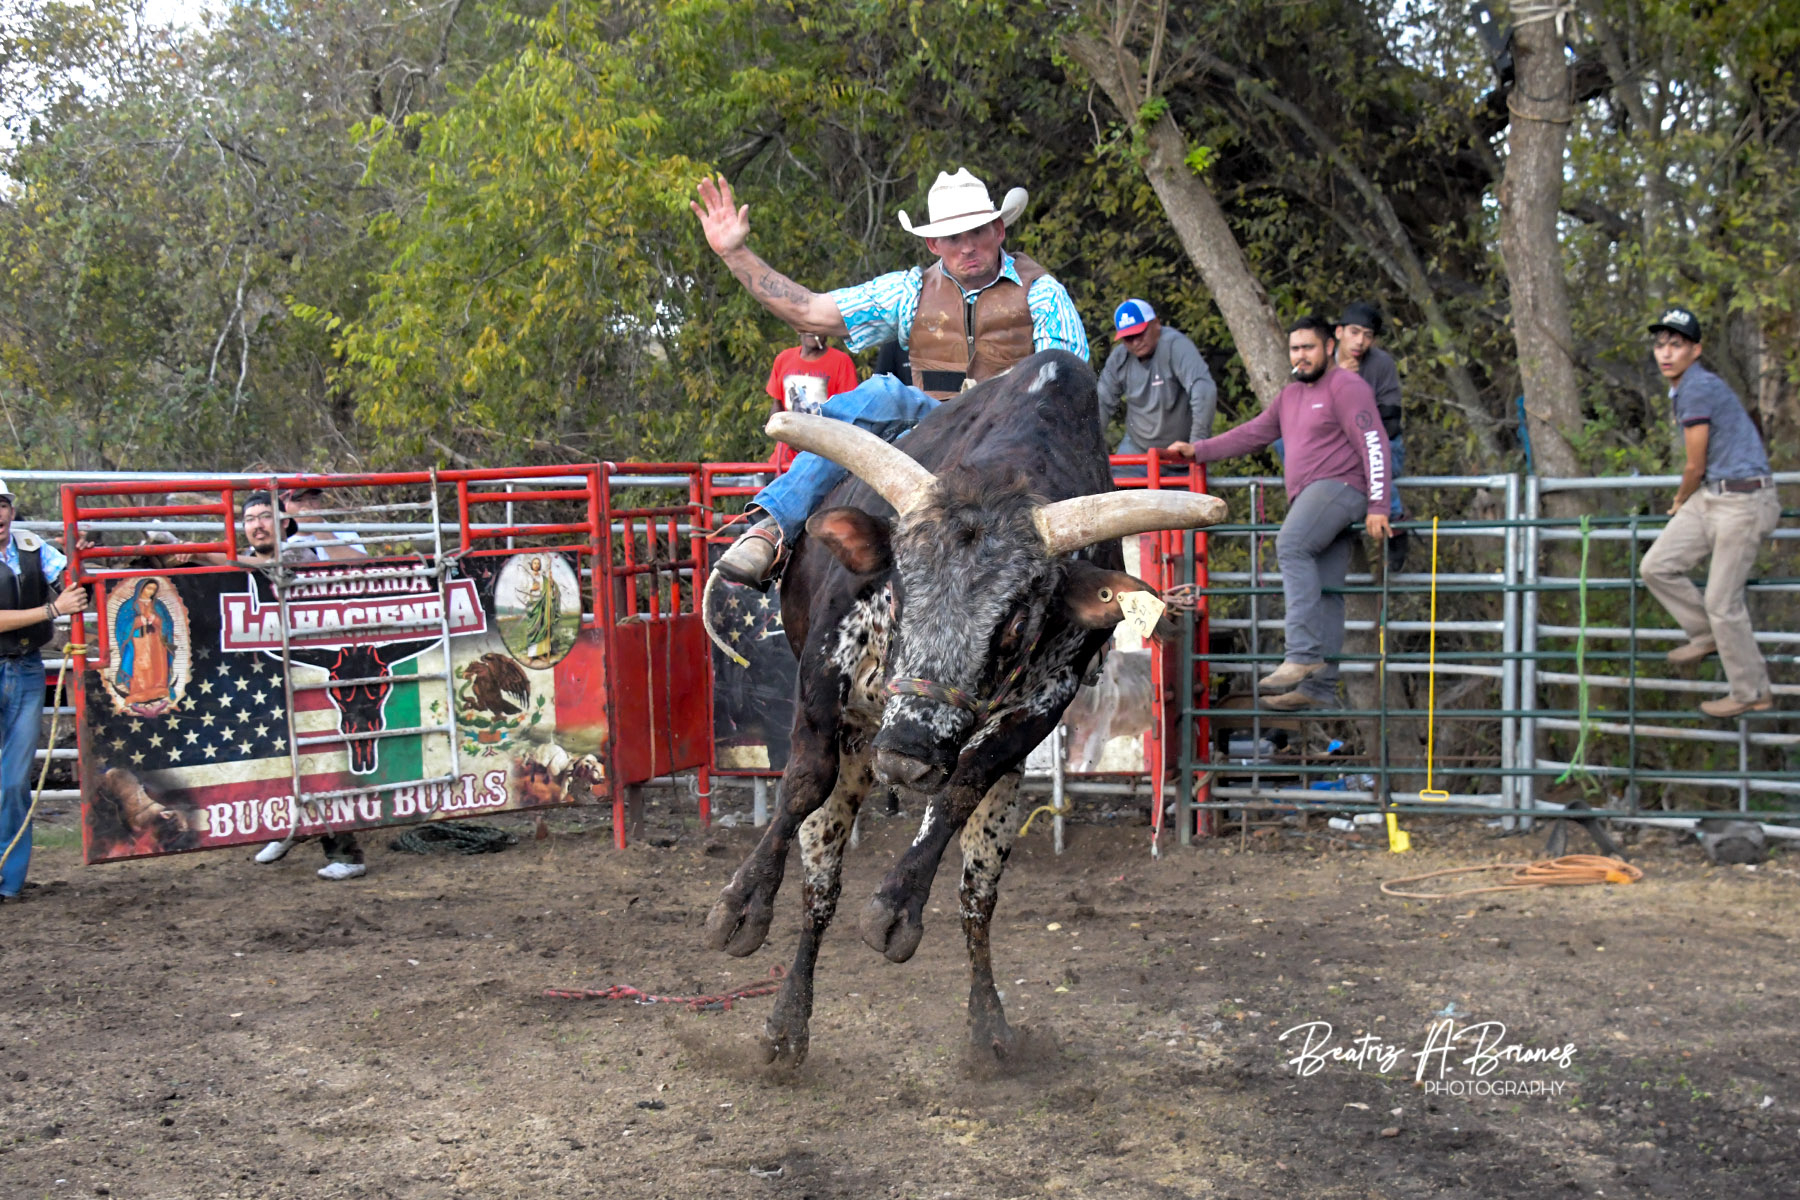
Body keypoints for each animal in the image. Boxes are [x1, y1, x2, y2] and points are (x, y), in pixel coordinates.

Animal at [702, 350, 1224, 1067]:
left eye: (1014, 622)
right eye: (899, 585)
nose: (906, 759)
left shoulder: (1035, 714)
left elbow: (957, 795)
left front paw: (896, 907)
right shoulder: (822, 681)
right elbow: (802, 783)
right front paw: (742, 905)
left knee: (977, 892)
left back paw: (988, 1027)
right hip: (858, 740)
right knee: (821, 879)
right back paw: (786, 1021)